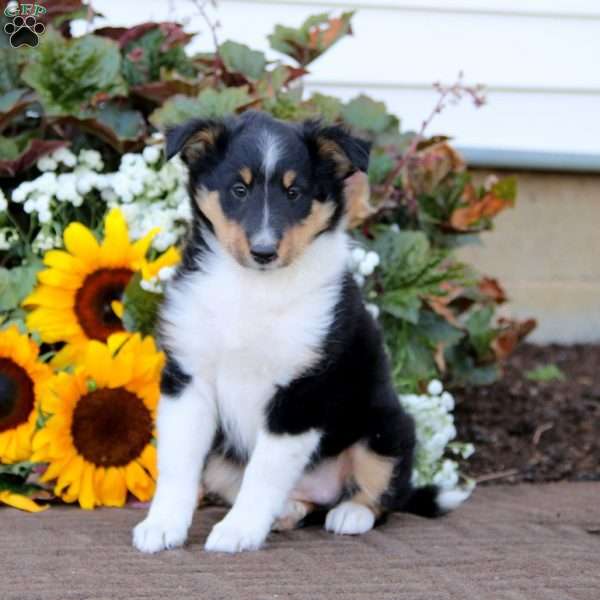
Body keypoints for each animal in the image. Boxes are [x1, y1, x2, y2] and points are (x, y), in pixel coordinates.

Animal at [132, 111, 468, 552]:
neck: (253, 287)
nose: (264, 252)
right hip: (222, 459)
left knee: (382, 493)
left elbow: (264, 473)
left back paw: (349, 513)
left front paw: (237, 532)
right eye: (239, 189)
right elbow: (177, 464)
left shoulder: (302, 392)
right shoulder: (188, 378)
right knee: (293, 497)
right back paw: (287, 512)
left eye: (295, 194)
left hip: (386, 427)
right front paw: (162, 525)